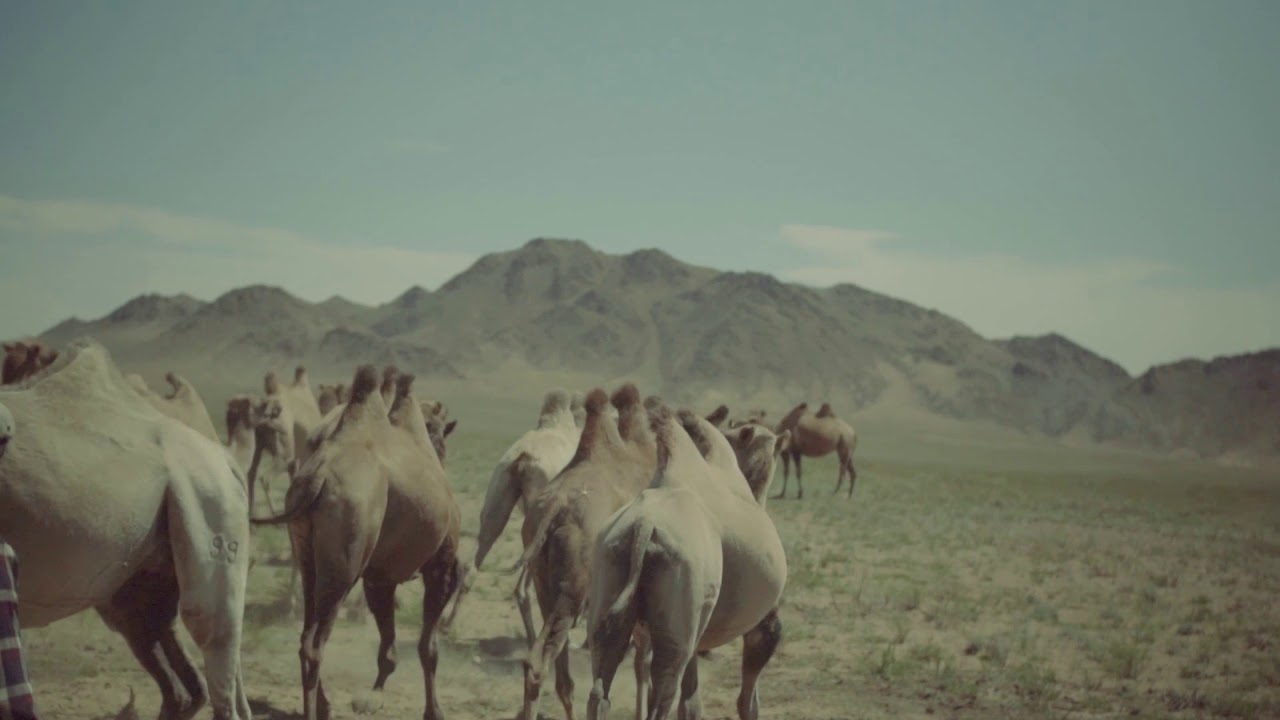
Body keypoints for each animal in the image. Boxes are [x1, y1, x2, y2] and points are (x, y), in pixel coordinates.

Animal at [252, 366, 462, 720]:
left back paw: (324, 704)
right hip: (345, 560)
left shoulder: (380, 576)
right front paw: (434, 711)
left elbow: (388, 646)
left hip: (310, 554)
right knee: (315, 644)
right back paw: (315, 710)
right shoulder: (441, 565)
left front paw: (374, 693)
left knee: (306, 634)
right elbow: (427, 647)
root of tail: (318, 477)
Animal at [513, 383, 658, 720]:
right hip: (574, 589)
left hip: (546, 584)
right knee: (539, 662)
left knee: (561, 673)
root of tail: (555, 508)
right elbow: (643, 662)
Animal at [585, 405, 789, 720]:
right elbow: (746, 702)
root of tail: (644, 525)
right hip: (681, 610)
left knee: (602, 680)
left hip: (610, 568)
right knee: (665, 689)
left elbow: (691, 702)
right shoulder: (763, 623)